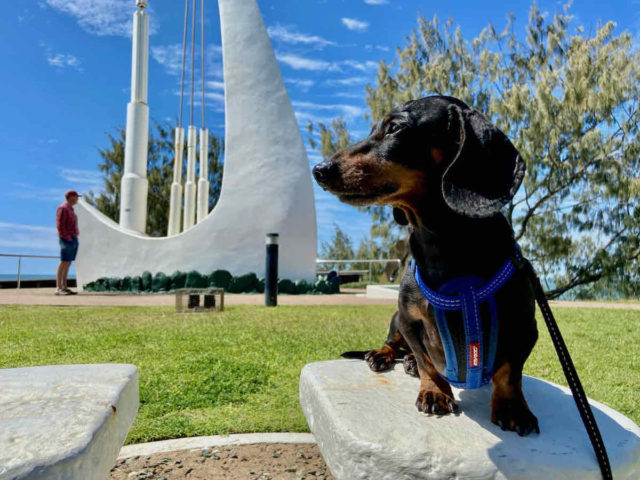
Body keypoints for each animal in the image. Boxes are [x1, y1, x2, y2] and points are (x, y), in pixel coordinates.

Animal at [314, 95, 540, 436]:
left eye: (395, 127)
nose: (319, 170)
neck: (443, 244)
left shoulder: (525, 327)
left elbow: (509, 372)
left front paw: (512, 406)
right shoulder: (409, 321)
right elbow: (426, 361)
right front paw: (434, 391)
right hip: (395, 321)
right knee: (395, 345)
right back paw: (383, 355)